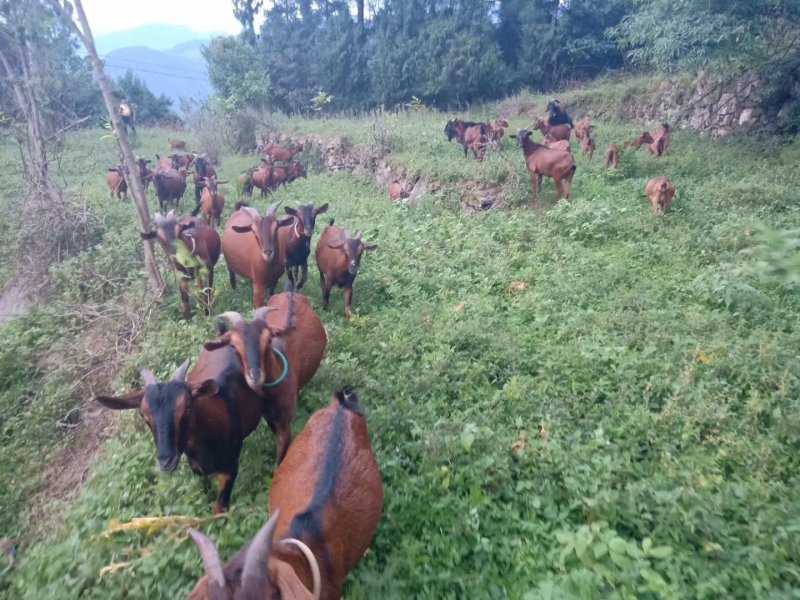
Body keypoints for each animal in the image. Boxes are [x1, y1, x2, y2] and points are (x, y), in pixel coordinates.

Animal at [95, 350, 260, 512]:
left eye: (187, 406)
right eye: (143, 415)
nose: (166, 461)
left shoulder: (231, 466)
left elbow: (220, 506)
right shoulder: (195, 467)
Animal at [208, 292, 330, 462]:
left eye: (269, 340)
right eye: (233, 345)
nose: (255, 376)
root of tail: (290, 293)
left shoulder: (285, 423)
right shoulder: (269, 417)